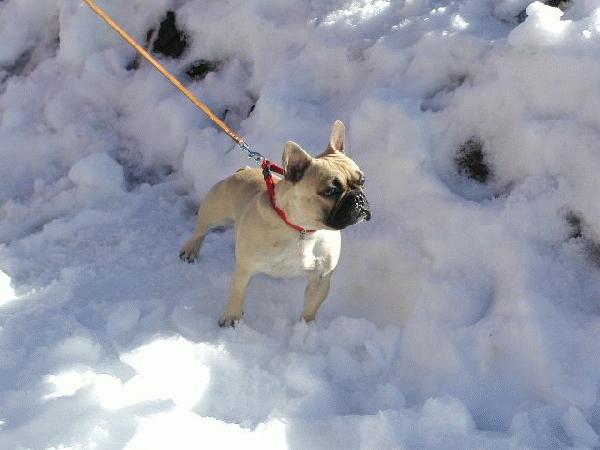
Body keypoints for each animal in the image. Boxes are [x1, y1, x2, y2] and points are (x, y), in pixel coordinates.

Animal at [179, 120, 370, 326]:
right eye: (331, 191)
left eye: (362, 180)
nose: (359, 198)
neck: (302, 230)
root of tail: (245, 169)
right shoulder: (245, 270)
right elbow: (237, 294)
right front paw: (231, 318)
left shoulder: (321, 278)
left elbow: (311, 307)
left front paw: (307, 326)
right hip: (215, 211)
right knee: (201, 231)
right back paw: (190, 249)